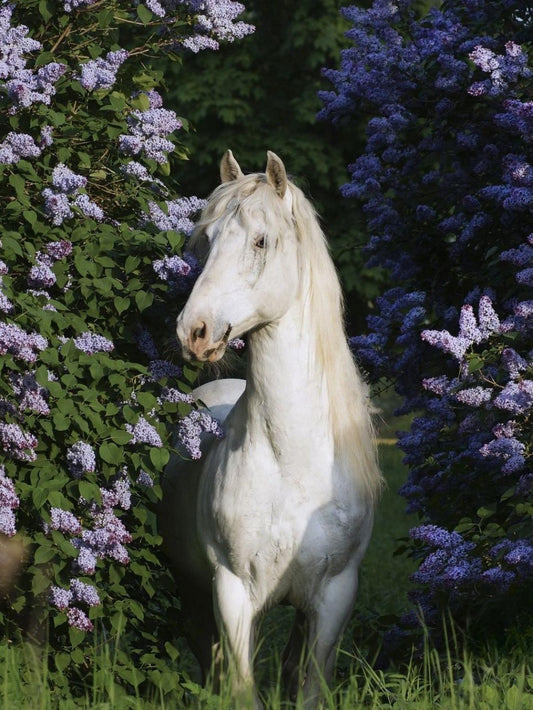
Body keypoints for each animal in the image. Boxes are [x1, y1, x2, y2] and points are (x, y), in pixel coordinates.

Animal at [158, 150, 383, 707]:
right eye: (205, 241)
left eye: (261, 241)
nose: (193, 332)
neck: (292, 464)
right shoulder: (232, 592)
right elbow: (241, 688)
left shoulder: (333, 597)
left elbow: (309, 688)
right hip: (192, 594)